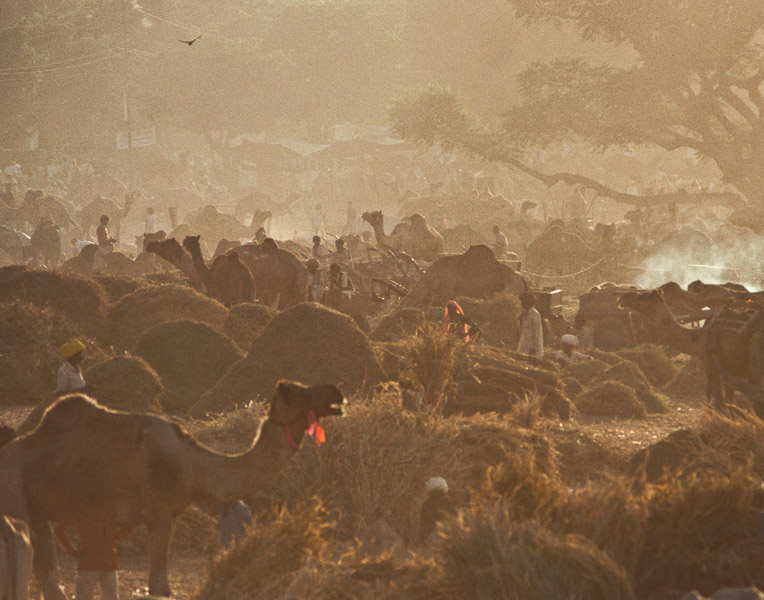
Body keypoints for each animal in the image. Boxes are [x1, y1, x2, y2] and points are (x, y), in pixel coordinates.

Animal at [0, 382, 344, 596]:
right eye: (300, 391)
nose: (336, 392)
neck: (193, 464)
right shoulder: (161, 513)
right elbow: (159, 587)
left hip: (38, 508)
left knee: (47, 573)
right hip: (13, 489)